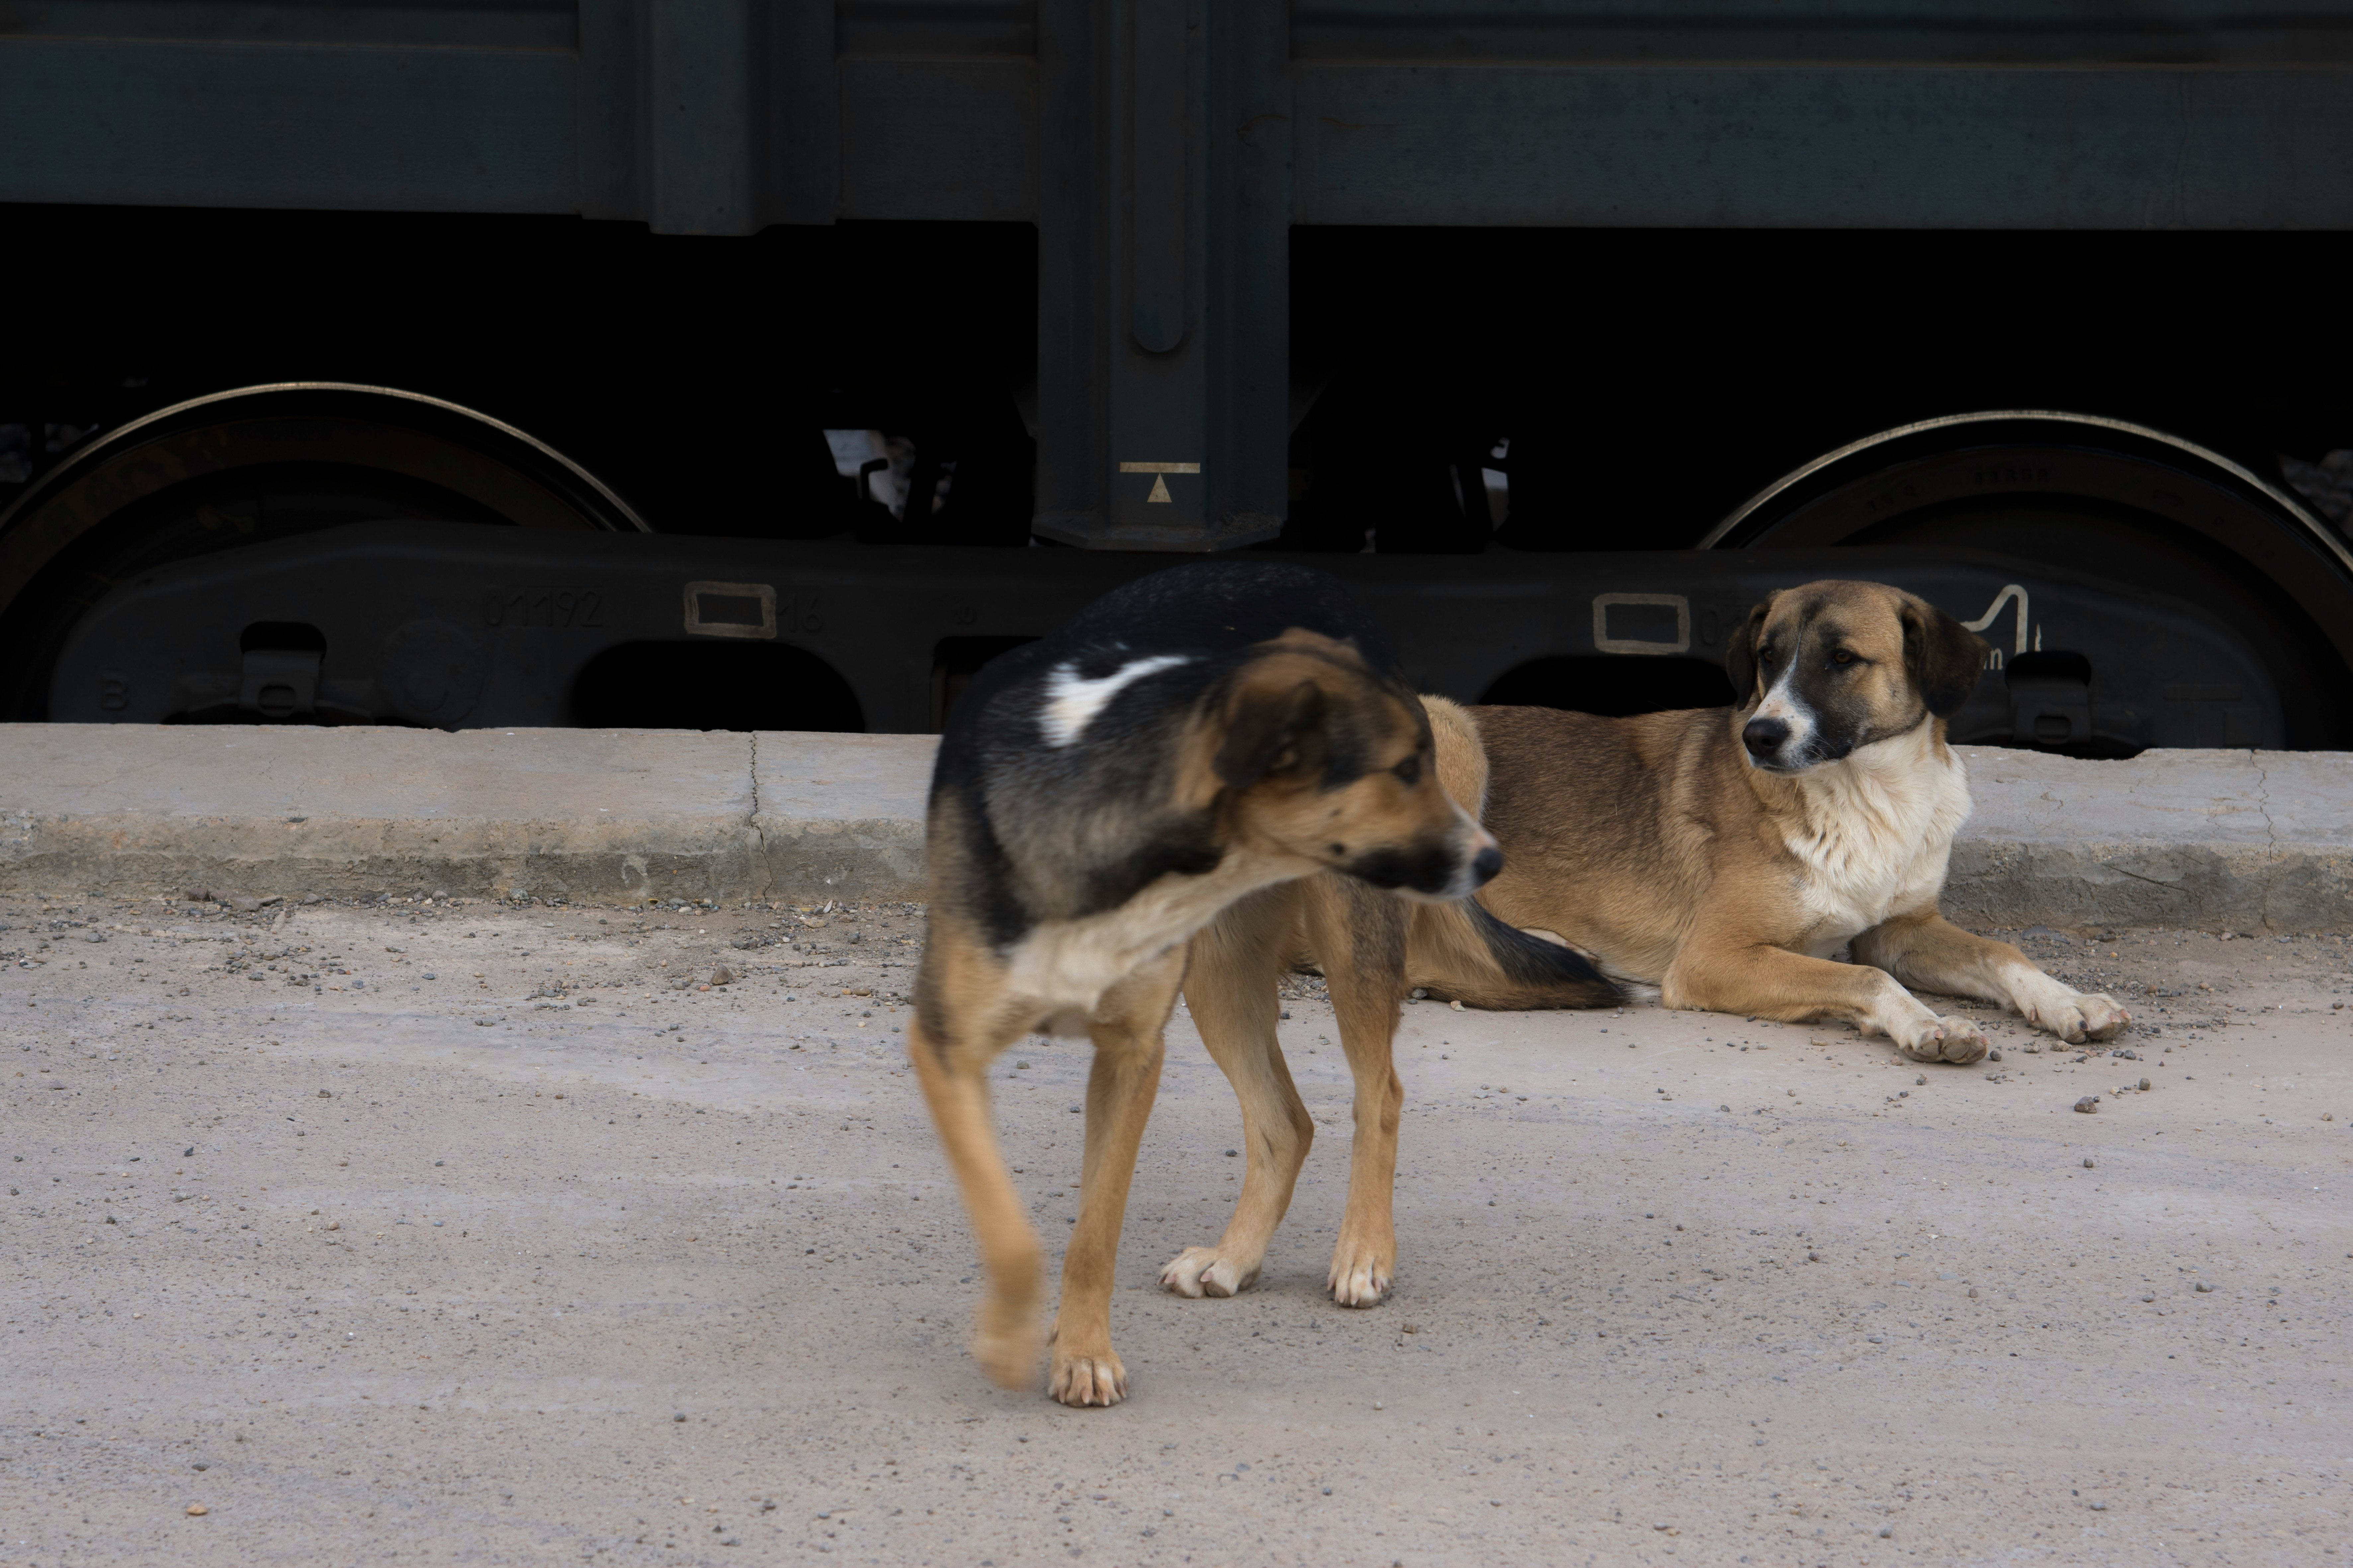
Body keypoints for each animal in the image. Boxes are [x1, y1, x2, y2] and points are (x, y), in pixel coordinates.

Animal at [908, 564, 1609, 1410]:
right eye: (1401, 769)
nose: (1492, 859)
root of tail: (1307, 574)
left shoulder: (1132, 1056)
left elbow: (1093, 1234)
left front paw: (1081, 1353)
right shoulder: (946, 1045)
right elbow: (1012, 1231)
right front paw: (1020, 1338)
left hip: (1342, 938)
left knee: (1379, 1093)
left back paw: (1363, 1251)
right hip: (1219, 978)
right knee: (1286, 1119)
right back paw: (1236, 1255)